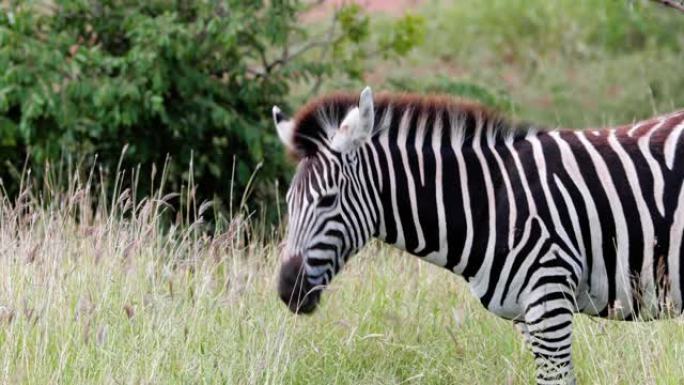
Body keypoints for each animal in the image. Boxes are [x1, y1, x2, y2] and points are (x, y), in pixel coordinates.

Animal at [272, 87, 684, 384]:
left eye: (327, 200)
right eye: (289, 202)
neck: (489, 200)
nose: (287, 289)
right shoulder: (527, 316)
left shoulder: (549, 301)